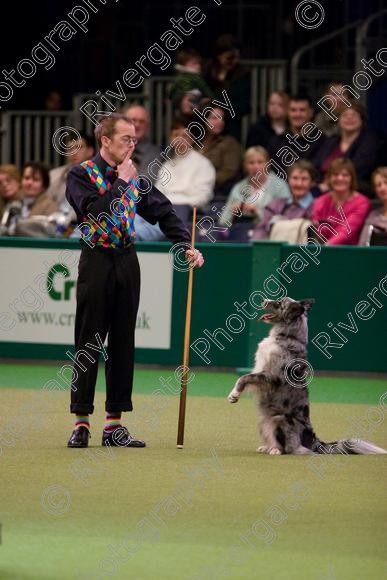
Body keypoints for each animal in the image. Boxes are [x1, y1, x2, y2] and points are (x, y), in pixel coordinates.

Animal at [229, 300, 386, 458]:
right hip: (263, 420)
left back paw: (275, 450)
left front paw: (234, 395)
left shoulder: (270, 376)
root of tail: (313, 441)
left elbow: (244, 377)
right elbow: (245, 378)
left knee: (290, 448)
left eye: (279, 303)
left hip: (280, 419)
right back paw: (267, 447)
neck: (288, 336)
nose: (263, 300)